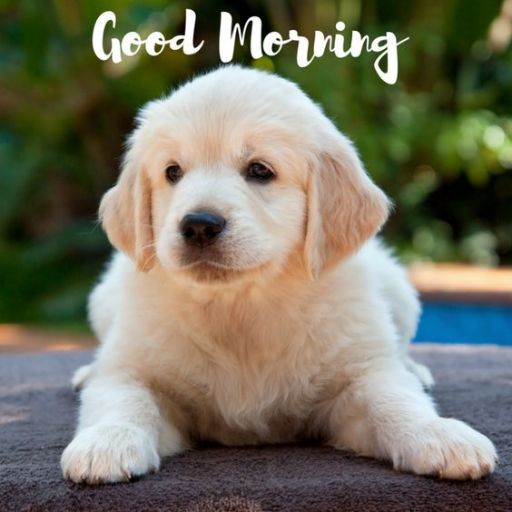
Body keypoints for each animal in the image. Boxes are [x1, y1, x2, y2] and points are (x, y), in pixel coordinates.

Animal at [61, 67, 496, 484]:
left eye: (259, 170)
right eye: (172, 172)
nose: (198, 225)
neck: (241, 306)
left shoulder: (357, 378)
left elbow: (395, 399)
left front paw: (440, 435)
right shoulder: (135, 370)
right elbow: (122, 399)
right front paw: (105, 443)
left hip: (399, 294)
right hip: (103, 299)